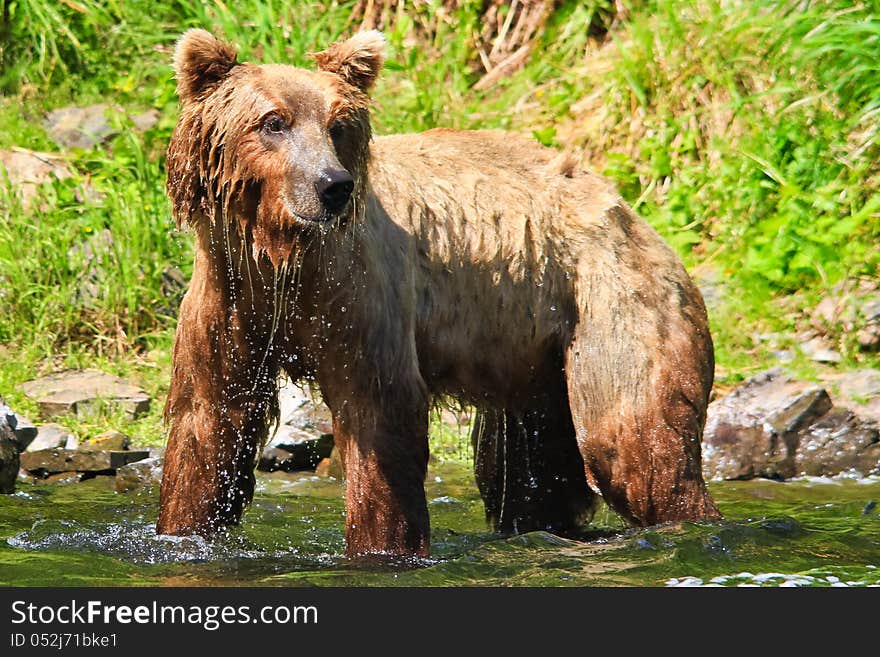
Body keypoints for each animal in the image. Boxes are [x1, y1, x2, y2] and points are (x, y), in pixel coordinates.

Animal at [156, 28, 720, 556]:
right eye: (274, 121)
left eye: (337, 126)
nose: (332, 185)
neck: (281, 257)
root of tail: (630, 212)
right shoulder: (230, 303)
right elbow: (208, 423)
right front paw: (184, 530)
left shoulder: (359, 301)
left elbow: (380, 421)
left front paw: (383, 546)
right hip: (534, 363)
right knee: (534, 473)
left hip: (612, 304)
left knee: (632, 440)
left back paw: (688, 522)